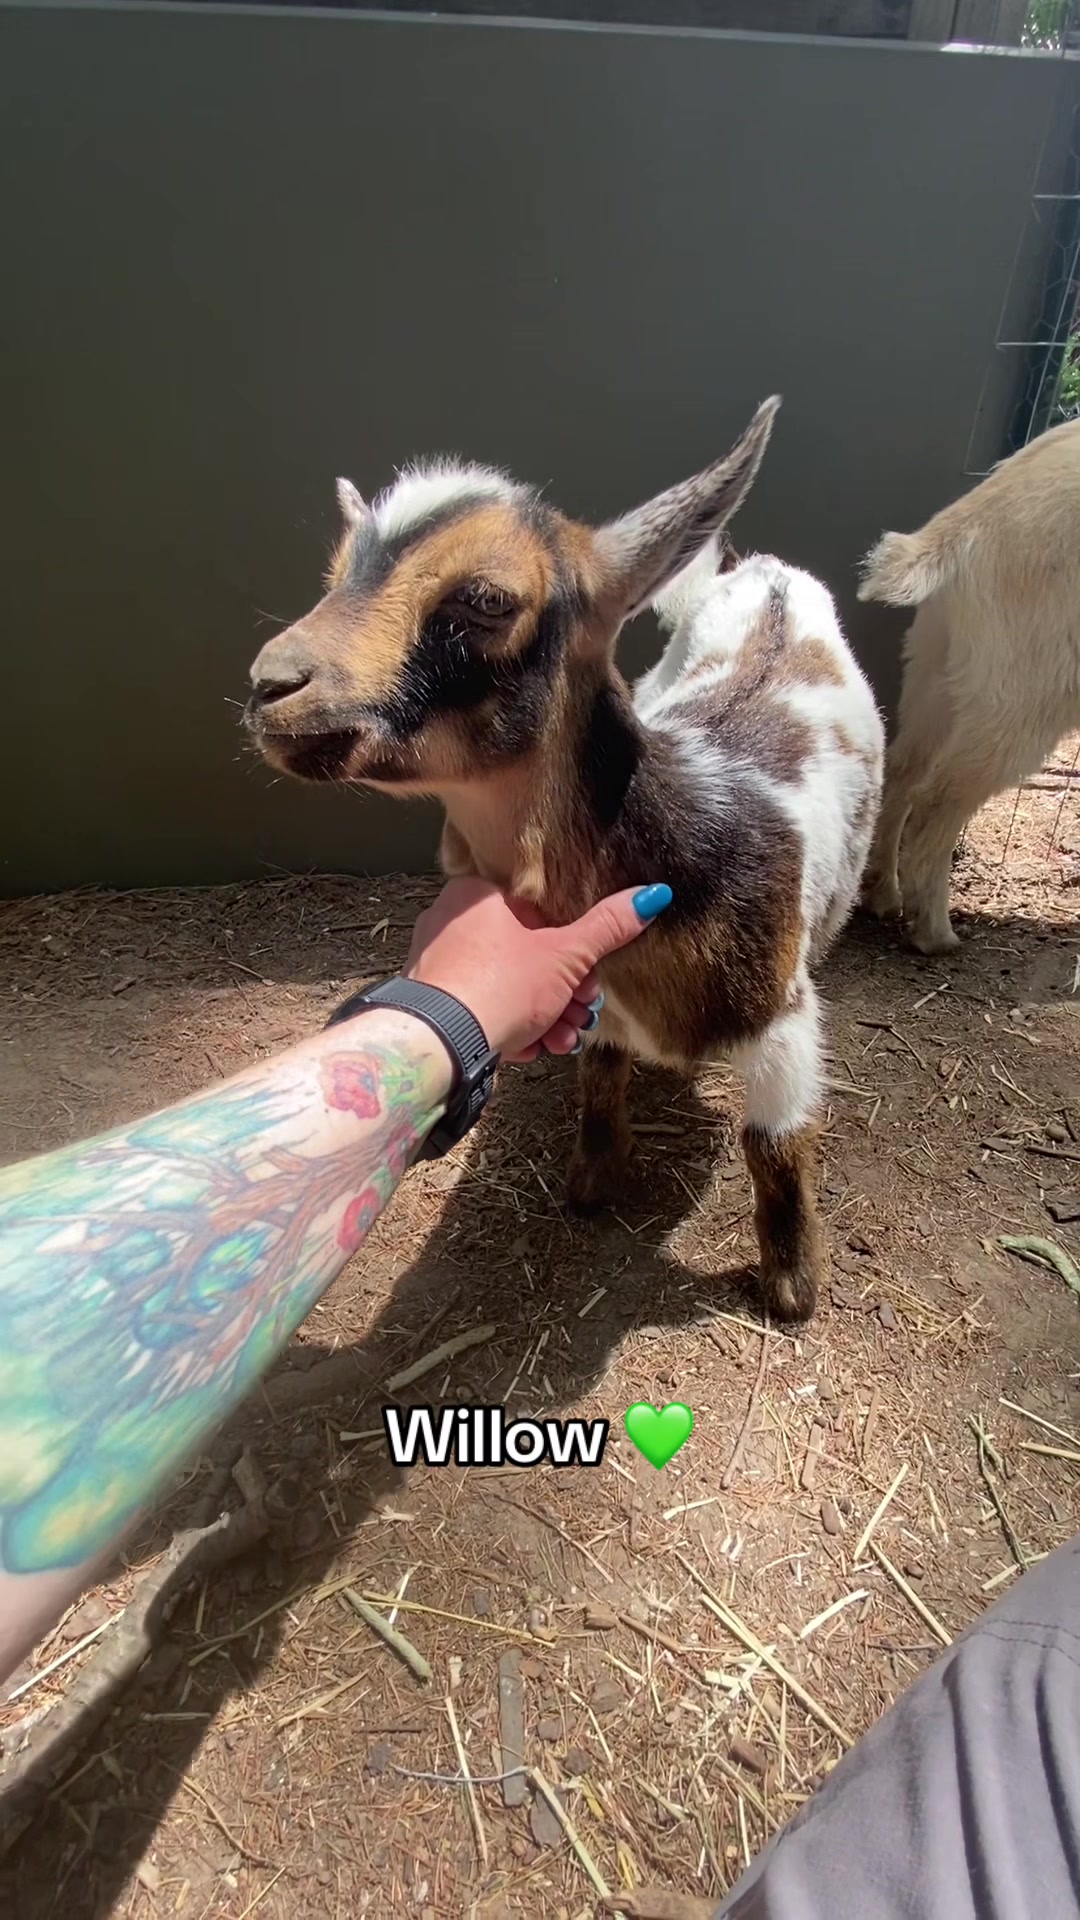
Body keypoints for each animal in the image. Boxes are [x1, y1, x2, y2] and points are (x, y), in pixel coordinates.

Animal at [246, 399, 884, 1322]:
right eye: (336, 574)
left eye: (484, 597)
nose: (270, 686)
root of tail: (765, 576)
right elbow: (600, 1072)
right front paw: (592, 1181)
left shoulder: (784, 1021)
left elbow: (774, 1141)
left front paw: (793, 1288)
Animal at [859, 417, 1080, 954]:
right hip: (1026, 688)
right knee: (938, 799)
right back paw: (934, 931)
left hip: (936, 669)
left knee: (903, 769)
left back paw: (884, 893)